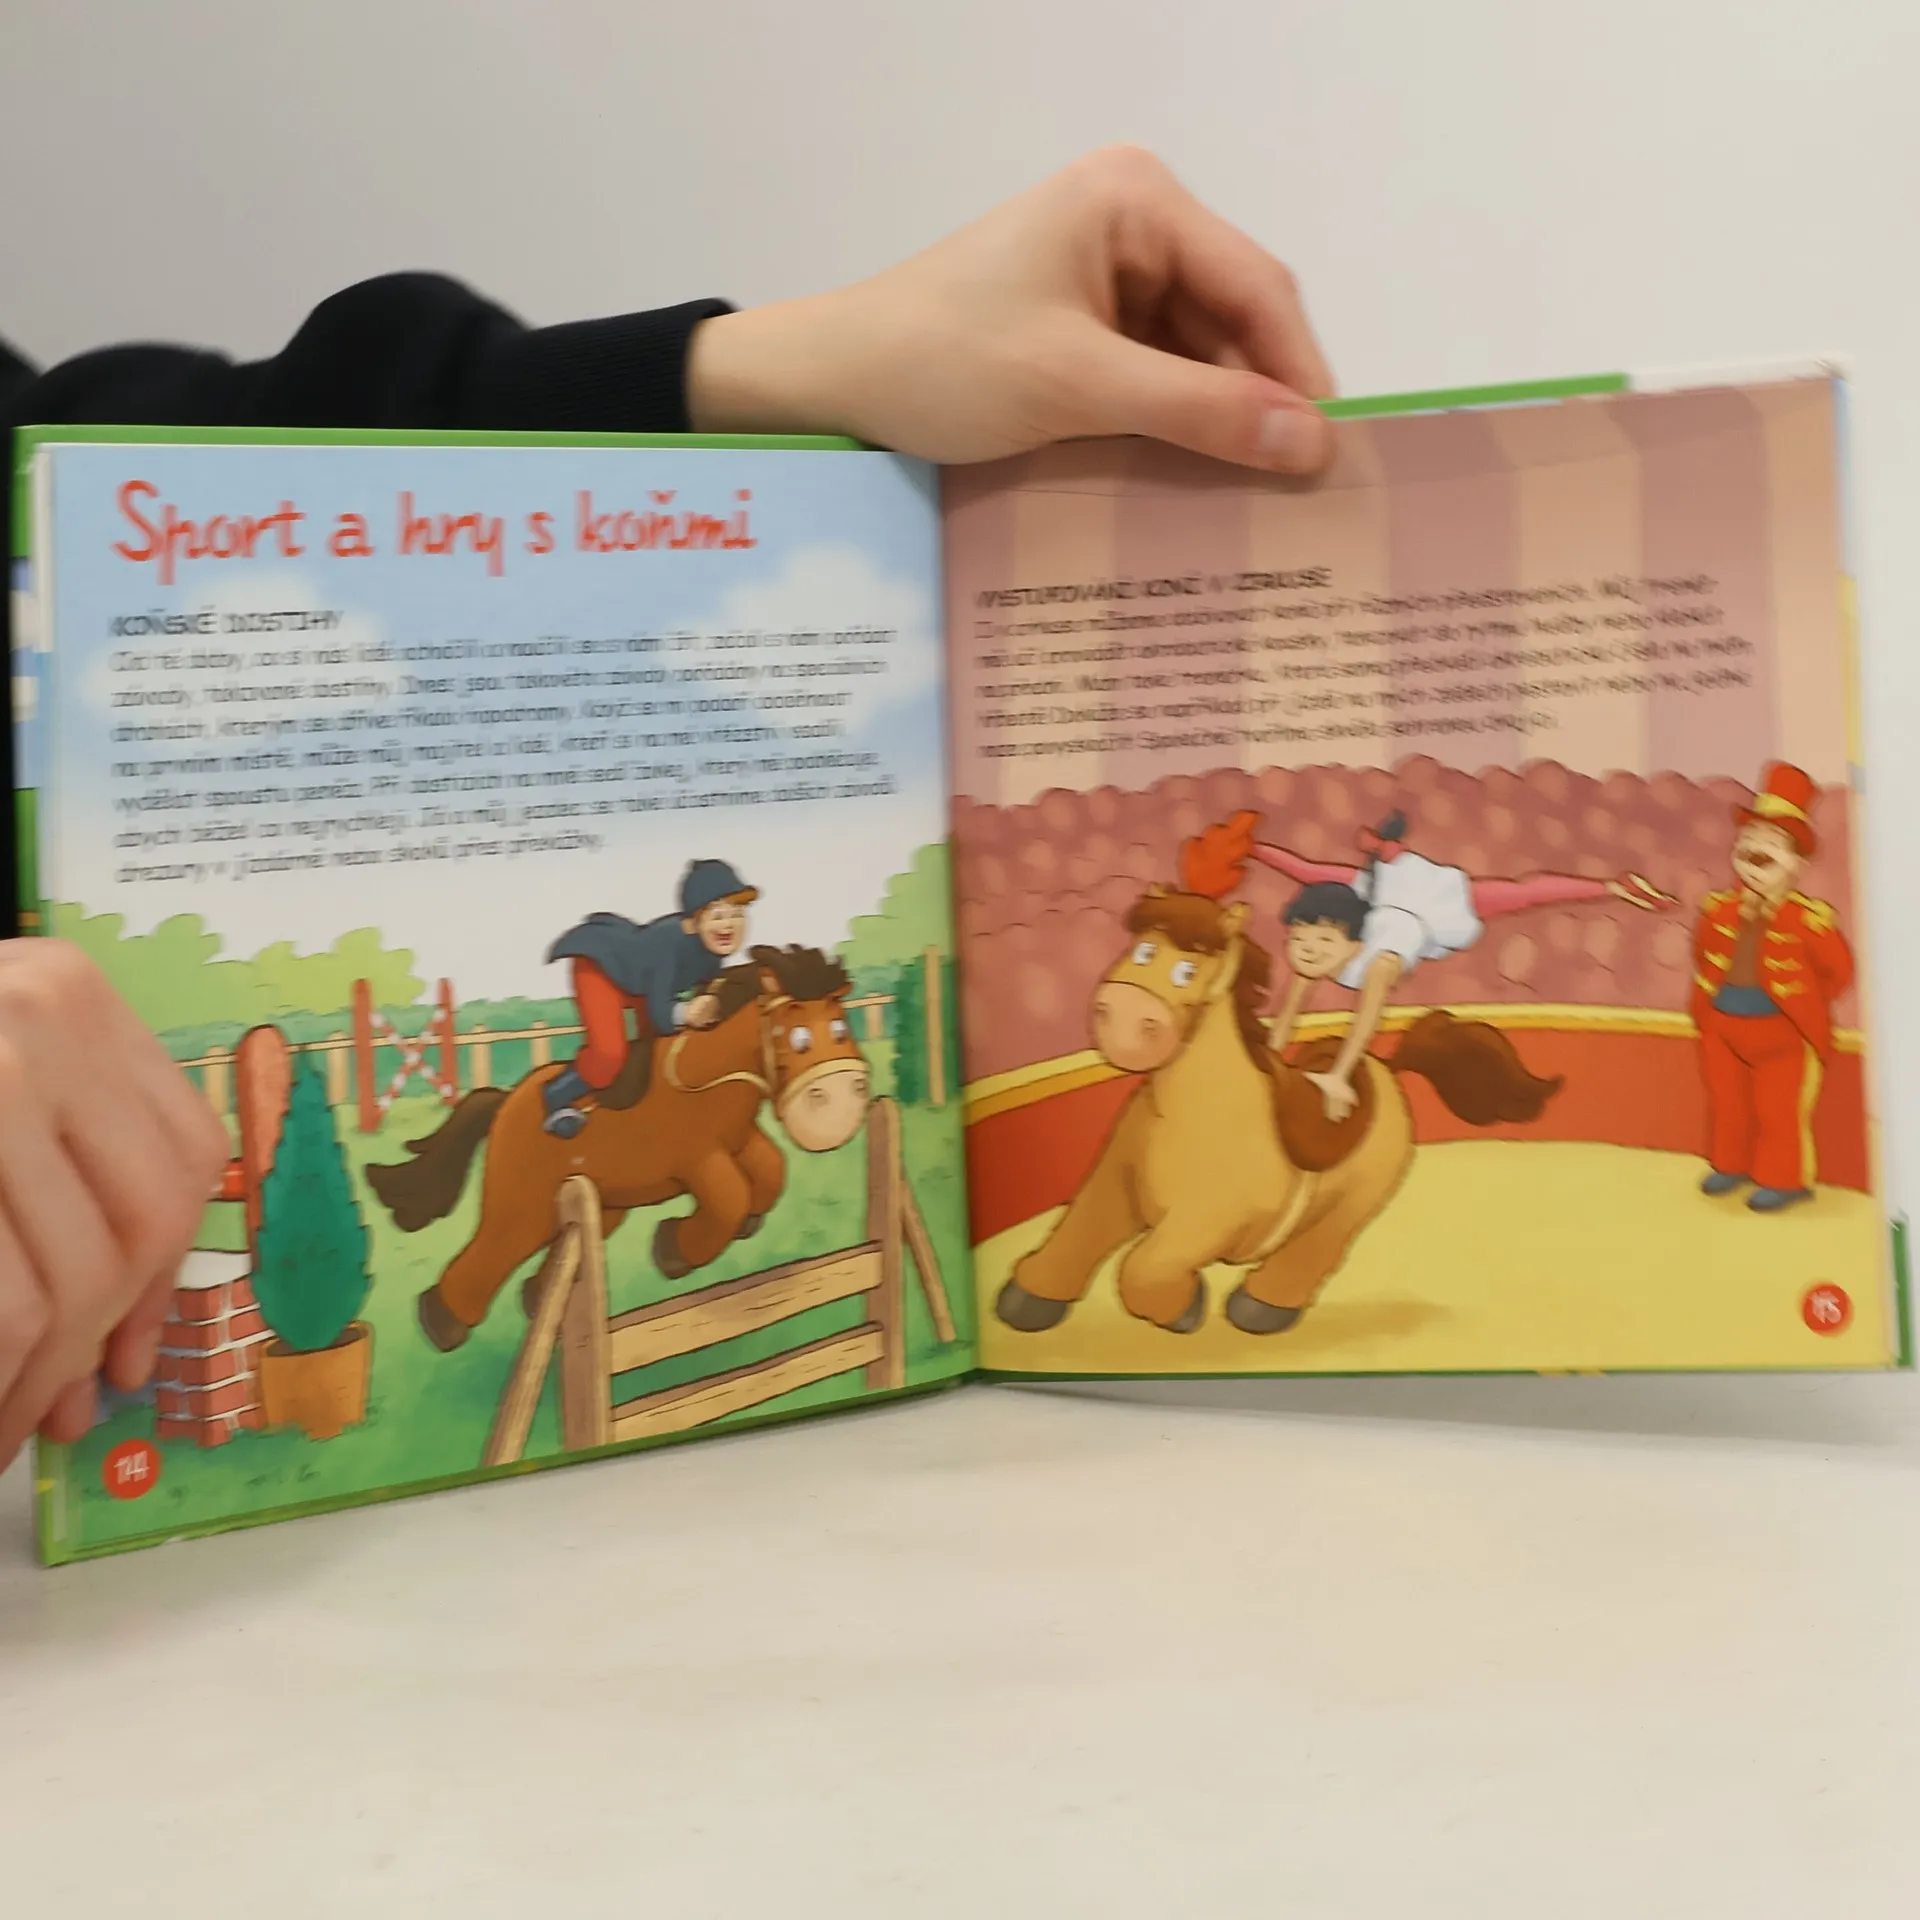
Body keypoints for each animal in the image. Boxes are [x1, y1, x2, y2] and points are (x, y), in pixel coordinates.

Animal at [364, 944, 872, 1352]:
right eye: (798, 1037)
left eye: (840, 1027)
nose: (844, 1100)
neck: (706, 1074)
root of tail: (506, 1101)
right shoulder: (697, 1159)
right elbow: (731, 1196)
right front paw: (673, 1249)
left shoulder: (740, 1139)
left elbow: (771, 1170)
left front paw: (740, 1226)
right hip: (523, 1203)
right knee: (494, 1249)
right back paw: (442, 1324)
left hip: (598, 1206)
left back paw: (537, 1309)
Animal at [994, 885, 1562, 1338]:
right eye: (1142, 949)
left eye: (1186, 969)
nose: (1124, 1021)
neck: (1189, 1114)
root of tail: (1385, 1068)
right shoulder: (1113, 1184)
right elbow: (1077, 1234)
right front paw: (1028, 1301)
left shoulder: (1209, 1220)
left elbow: (1144, 1267)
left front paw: (1184, 1310)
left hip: (1357, 1200)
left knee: (1320, 1247)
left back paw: (1262, 1309)